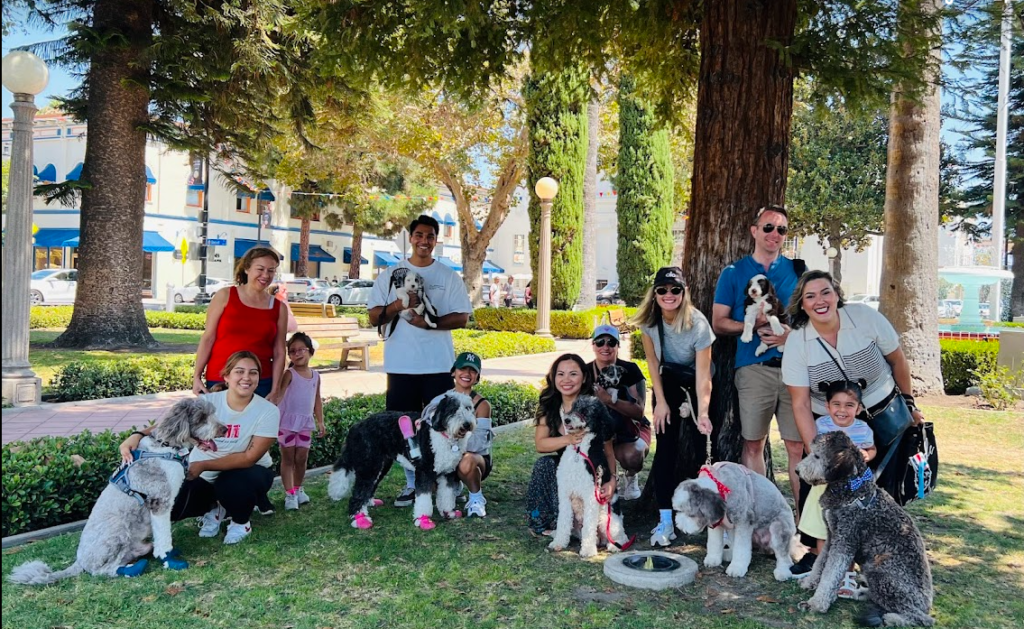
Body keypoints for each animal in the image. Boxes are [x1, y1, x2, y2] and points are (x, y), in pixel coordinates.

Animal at [9, 399, 225, 585]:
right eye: (201, 417)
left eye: (213, 412)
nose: (223, 429)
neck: (166, 446)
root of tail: (79, 561)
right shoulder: (159, 502)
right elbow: (164, 535)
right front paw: (168, 559)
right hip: (117, 532)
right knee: (102, 571)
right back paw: (132, 569)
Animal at [327, 393, 475, 532]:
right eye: (453, 409)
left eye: (468, 408)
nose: (467, 424)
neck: (443, 436)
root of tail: (356, 426)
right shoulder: (424, 472)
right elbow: (423, 498)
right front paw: (423, 519)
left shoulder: (448, 473)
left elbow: (447, 494)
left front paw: (448, 512)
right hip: (369, 465)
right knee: (358, 493)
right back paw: (360, 519)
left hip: (381, 465)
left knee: (369, 487)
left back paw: (369, 502)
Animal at [794, 432, 933, 626]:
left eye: (816, 456)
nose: (797, 471)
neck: (853, 488)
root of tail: (926, 604)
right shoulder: (832, 537)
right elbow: (820, 563)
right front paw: (810, 582)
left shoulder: (844, 541)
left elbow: (830, 575)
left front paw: (816, 603)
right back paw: (861, 592)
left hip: (881, 575)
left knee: (922, 618)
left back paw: (894, 618)